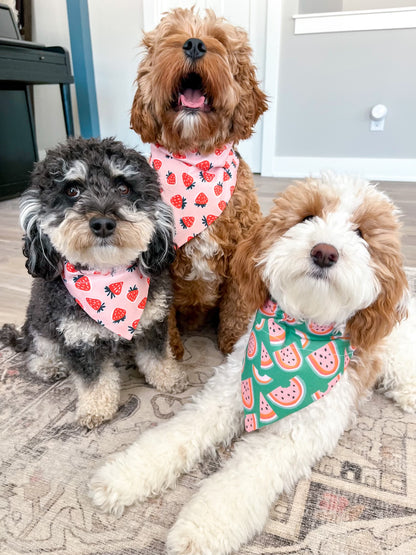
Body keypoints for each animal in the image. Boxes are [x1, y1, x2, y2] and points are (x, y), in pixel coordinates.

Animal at [2, 137, 187, 428]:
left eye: (123, 188)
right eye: (72, 190)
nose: (102, 223)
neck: (108, 279)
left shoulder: (152, 323)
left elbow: (157, 357)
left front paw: (169, 378)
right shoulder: (79, 340)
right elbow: (94, 379)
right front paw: (96, 409)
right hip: (40, 324)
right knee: (37, 349)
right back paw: (48, 366)